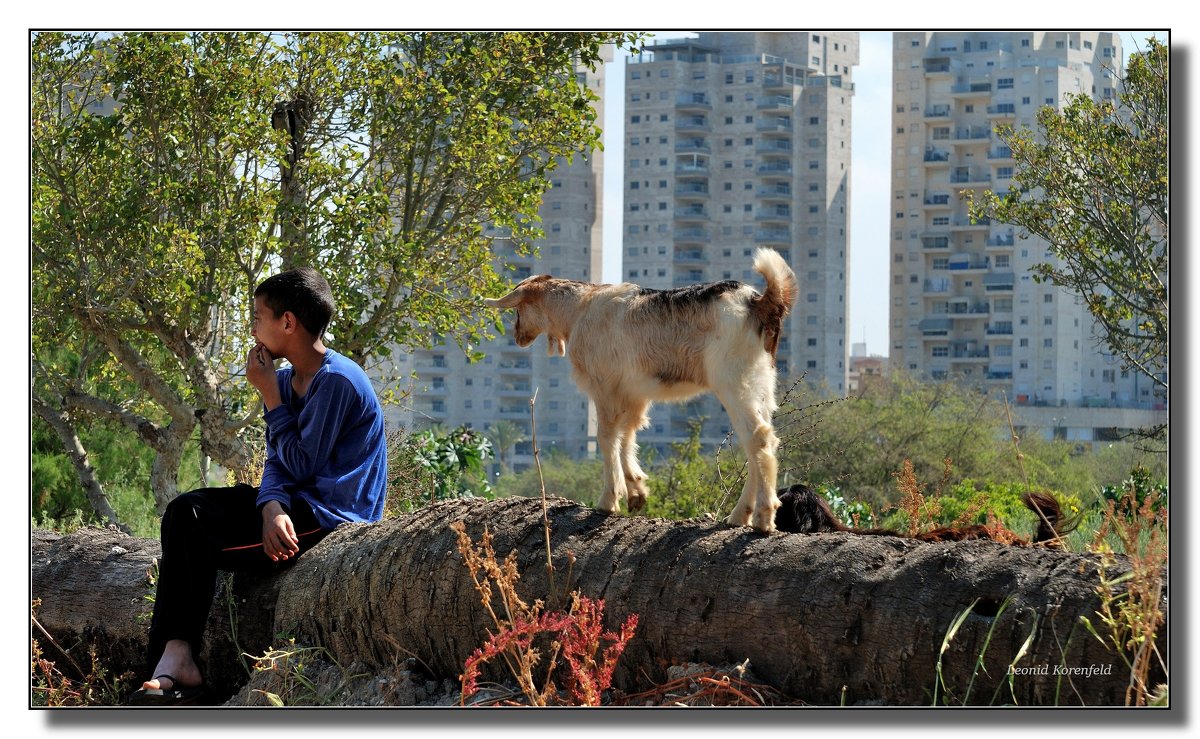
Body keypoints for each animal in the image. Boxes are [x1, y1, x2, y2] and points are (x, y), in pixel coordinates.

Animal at [477, 248, 796, 530]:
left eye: (519, 309)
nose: (517, 337)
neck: (580, 309)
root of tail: (759, 301)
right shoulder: (634, 393)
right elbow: (627, 435)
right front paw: (636, 493)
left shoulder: (604, 387)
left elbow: (607, 436)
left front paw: (609, 501)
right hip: (761, 386)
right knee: (758, 442)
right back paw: (740, 515)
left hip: (735, 384)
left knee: (759, 439)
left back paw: (763, 519)